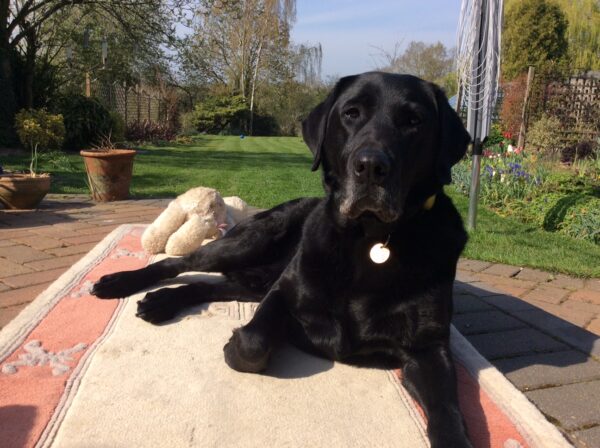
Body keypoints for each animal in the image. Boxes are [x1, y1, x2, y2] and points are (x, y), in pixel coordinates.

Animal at [91, 72, 472, 446]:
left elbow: (447, 411)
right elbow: (252, 343)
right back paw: (119, 282)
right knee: (179, 263)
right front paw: (234, 343)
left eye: (414, 121)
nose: (371, 167)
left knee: (206, 286)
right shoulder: (283, 294)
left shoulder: (430, 347)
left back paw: (161, 301)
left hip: (254, 281)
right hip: (253, 241)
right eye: (351, 113)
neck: (370, 238)